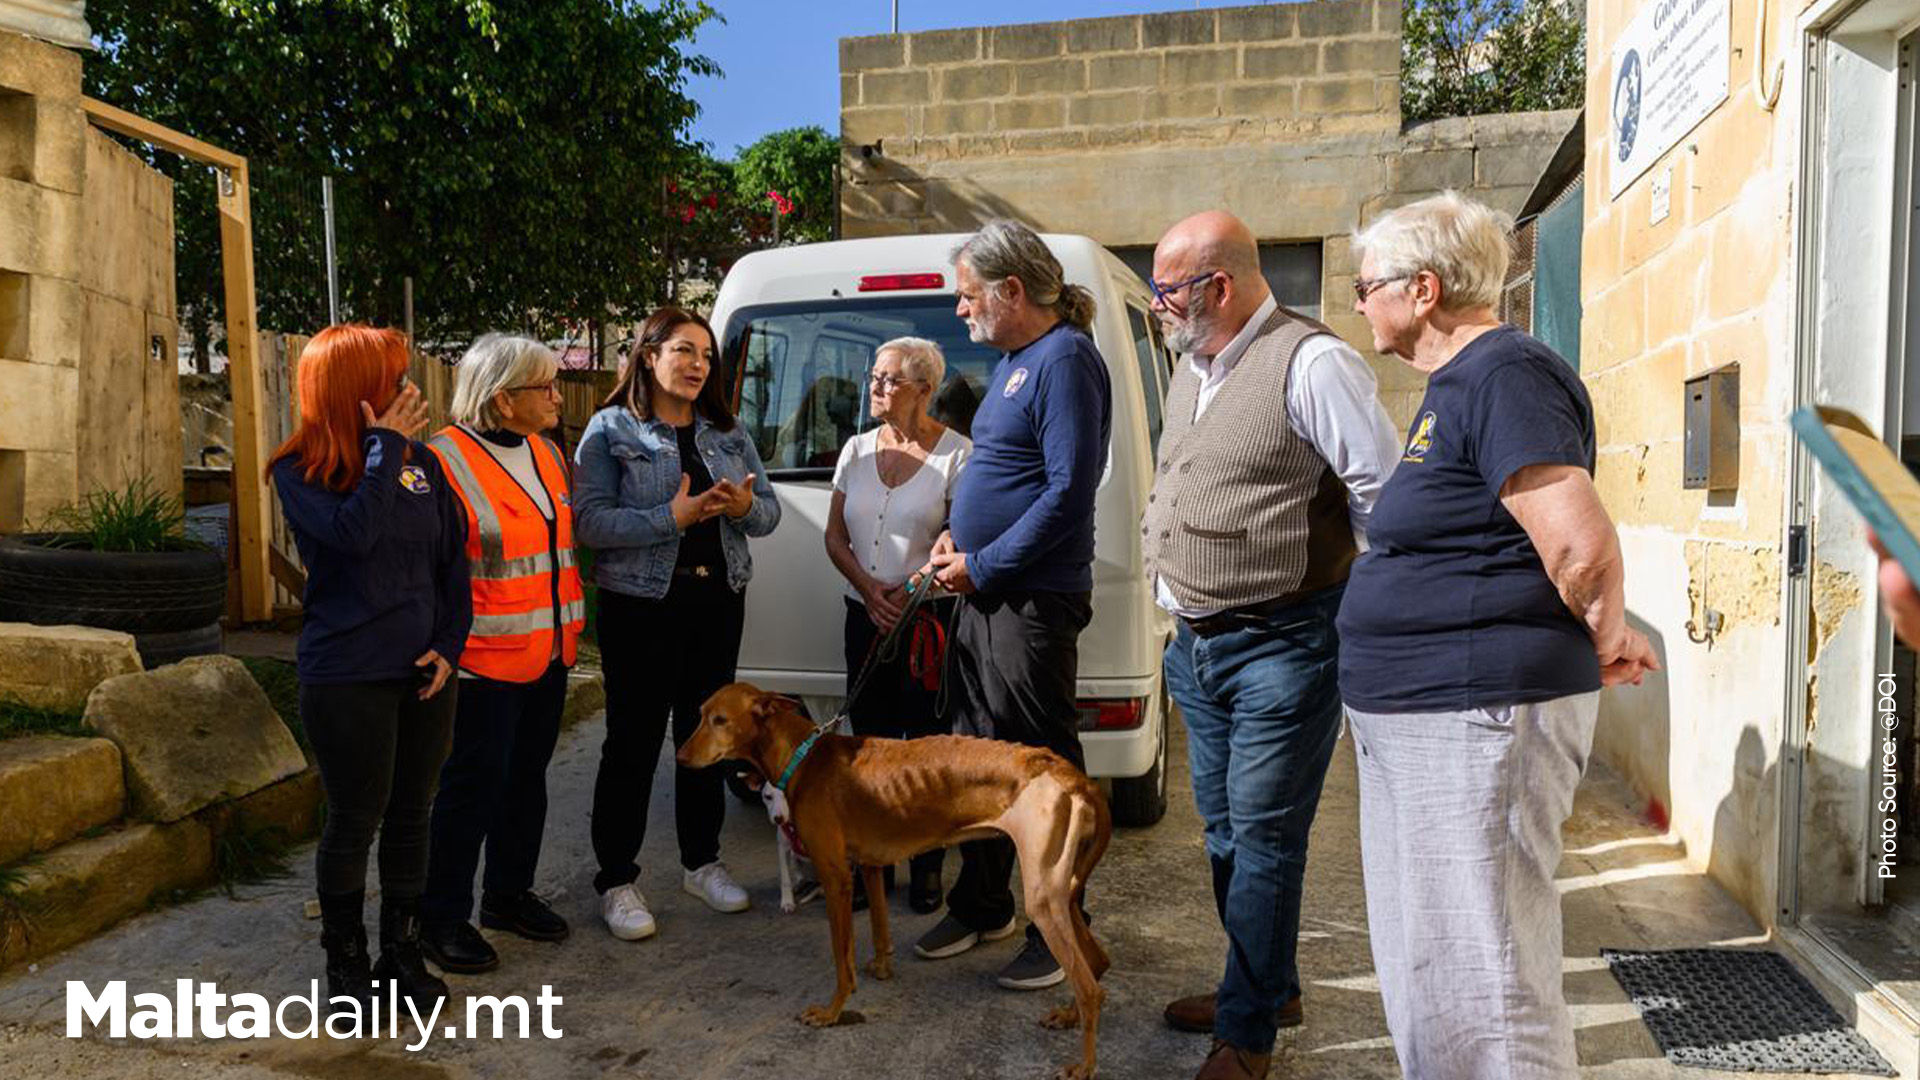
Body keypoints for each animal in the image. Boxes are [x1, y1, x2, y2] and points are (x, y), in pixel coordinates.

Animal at [683, 680, 1121, 1076]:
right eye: (701, 714)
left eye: (720, 720)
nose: (681, 756)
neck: (803, 757)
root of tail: (1070, 774)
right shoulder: (871, 866)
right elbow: (879, 929)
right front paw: (881, 967)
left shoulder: (836, 878)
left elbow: (841, 960)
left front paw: (832, 1011)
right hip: (1061, 893)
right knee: (1097, 962)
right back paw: (1068, 1016)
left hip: (1043, 898)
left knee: (1090, 987)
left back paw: (1084, 1065)